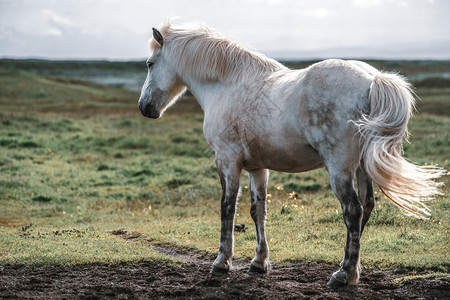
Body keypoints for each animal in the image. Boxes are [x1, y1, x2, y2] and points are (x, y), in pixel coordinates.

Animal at [139, 19, 444, 288]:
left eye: (150, 64)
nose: (145, 107)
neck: (227, 86)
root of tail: (372, 79)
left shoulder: (226, 160)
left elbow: (227, 208)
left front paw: (222, 261)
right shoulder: (257, 168)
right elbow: (257, 211)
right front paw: (259, 262)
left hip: (340, 168)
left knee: (353, 211)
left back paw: (343, 275)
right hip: (361, 167)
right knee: (366, 207)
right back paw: (351, 269)